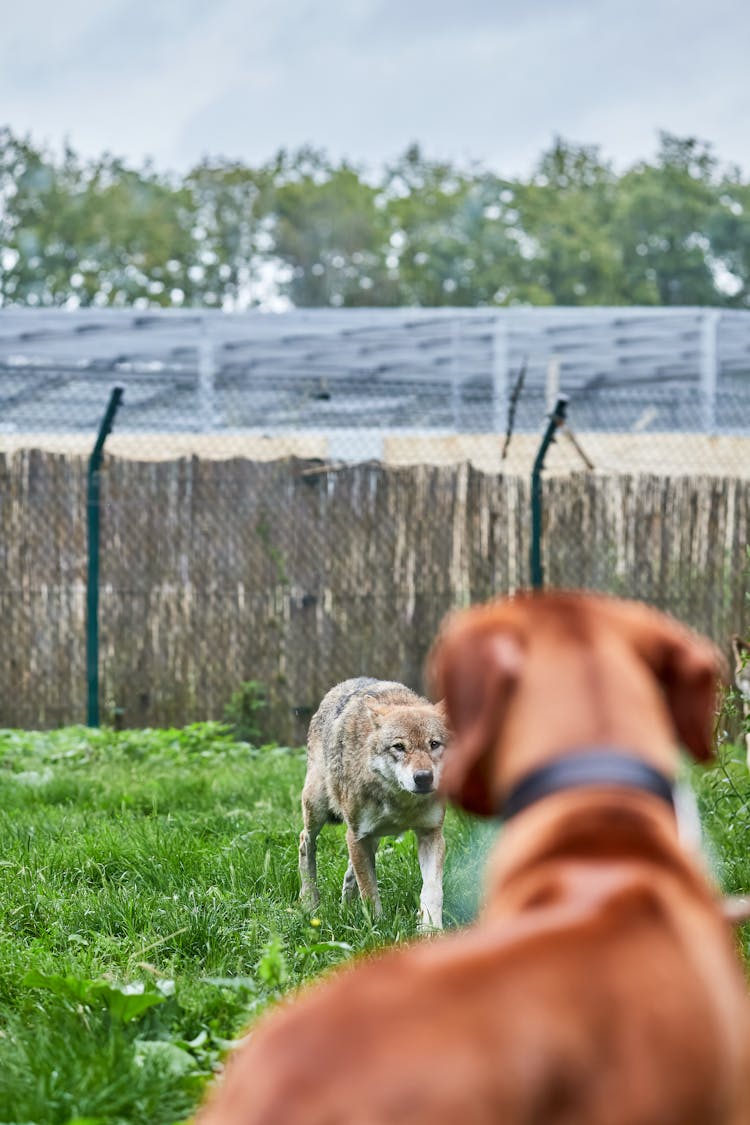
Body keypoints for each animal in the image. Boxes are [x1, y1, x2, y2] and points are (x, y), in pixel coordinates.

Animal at [299, 679, 449, 927]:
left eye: (434, 744)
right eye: (399, 747)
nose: (424, 777)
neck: (401, 803)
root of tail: (341, 686)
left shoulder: (431, 834)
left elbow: (432, 890)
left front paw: (431, 929)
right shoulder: (357, 835)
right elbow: (369, 892)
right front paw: (377, 927)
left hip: (372, 839)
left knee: (350, 873)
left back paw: (346, 909)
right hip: (318, 810)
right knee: (305, 843)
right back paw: (310, 902)